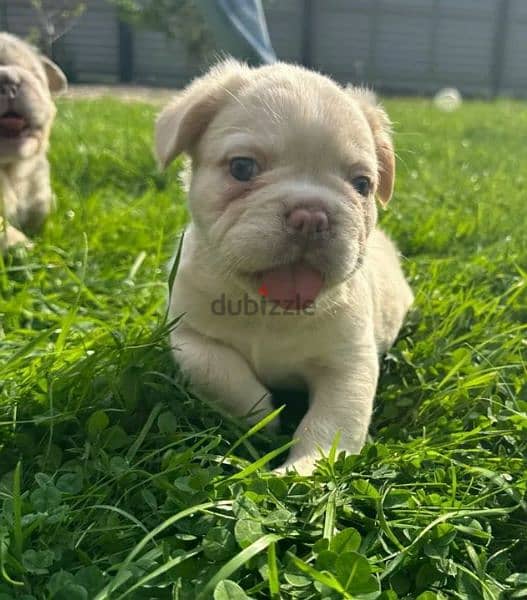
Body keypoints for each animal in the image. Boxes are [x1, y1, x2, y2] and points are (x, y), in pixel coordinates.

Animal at [0, 32, 67, 251]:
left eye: (35, 75)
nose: (8, 81)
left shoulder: (37, 182)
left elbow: (43, 207)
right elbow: (4, 228)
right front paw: (23, 245)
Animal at [155, 59, 414, 474]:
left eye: (361, 185)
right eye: (242, 168)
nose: (311, 215)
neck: (268, 311)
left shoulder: (349, 366)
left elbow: (330, 423)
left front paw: (304, 469)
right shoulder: (188, 335)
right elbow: (219, 371)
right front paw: (262, 418)